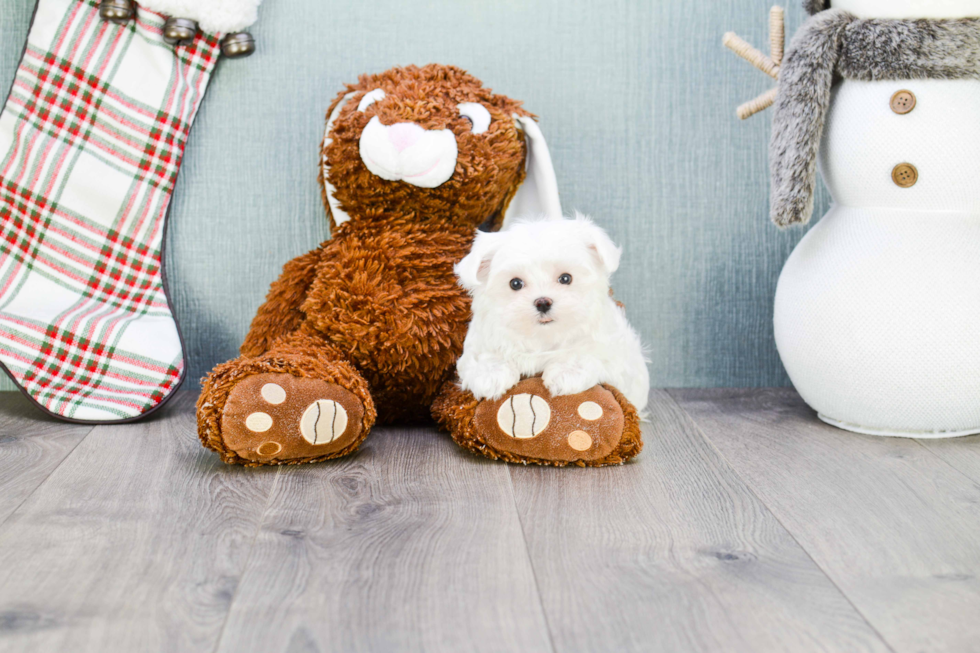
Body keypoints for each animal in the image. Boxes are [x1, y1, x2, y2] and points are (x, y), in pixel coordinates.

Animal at [454, 216, 652, 416]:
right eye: (515, 283)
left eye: (566, 278)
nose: (543, 302)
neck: (543, 338)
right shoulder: (480, 341)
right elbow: (482, 356)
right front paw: (490, 374)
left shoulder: (617, 360)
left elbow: (588, 354)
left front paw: (567, 372)